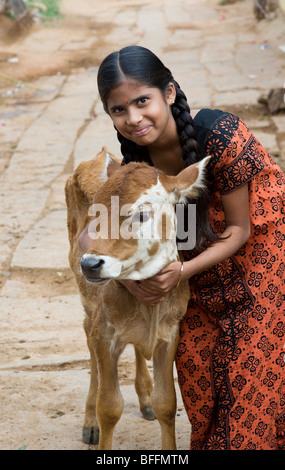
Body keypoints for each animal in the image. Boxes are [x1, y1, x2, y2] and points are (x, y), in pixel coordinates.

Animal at [65, 149, 209, 450]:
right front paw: (97, 422)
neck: (149, 307)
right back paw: (89, 424)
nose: (90, 264)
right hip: (88, 303)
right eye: (94, 212)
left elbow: (167, 403)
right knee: (87, 335)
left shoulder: (171, 333)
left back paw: (145, 400)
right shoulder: (104, 332)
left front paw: (154, 401)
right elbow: (109, 407)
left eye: (142, 214)